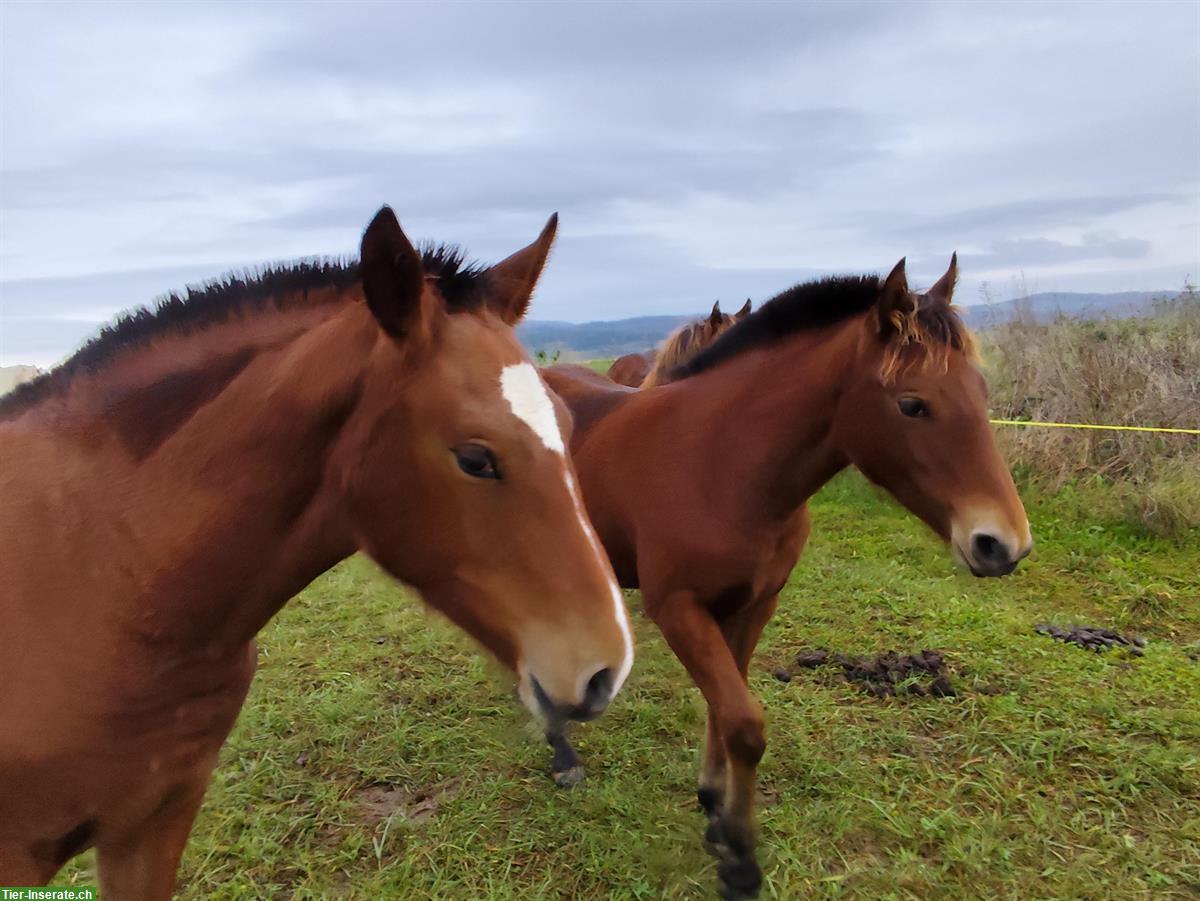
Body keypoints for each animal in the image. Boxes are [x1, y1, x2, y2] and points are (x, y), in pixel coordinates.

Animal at [540, 256, 1027, 897]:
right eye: (912, 404)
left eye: (982, 391)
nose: (1004, 545)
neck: (719, 464)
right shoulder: (676, 608)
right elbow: (745, 722)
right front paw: (740, 860)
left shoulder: (755, 604)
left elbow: (726, 706)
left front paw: (715, 807)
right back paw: (563, 756)